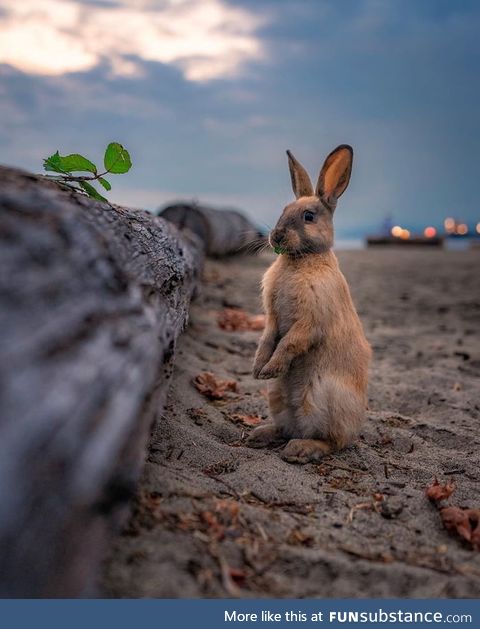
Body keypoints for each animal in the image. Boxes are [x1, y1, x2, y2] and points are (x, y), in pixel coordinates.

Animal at [248, 145, 372, 464]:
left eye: (308, 216)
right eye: (283, 211)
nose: (276, 236)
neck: (301, 259)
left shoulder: (309, 323)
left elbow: (289, 343)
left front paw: (270, 368)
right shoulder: (272, 319)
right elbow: (268, 339)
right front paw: (258, 369)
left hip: (319, 400)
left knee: (332, 442)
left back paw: (300, 449)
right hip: (277, 399)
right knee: (286, 429)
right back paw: (260, 435)